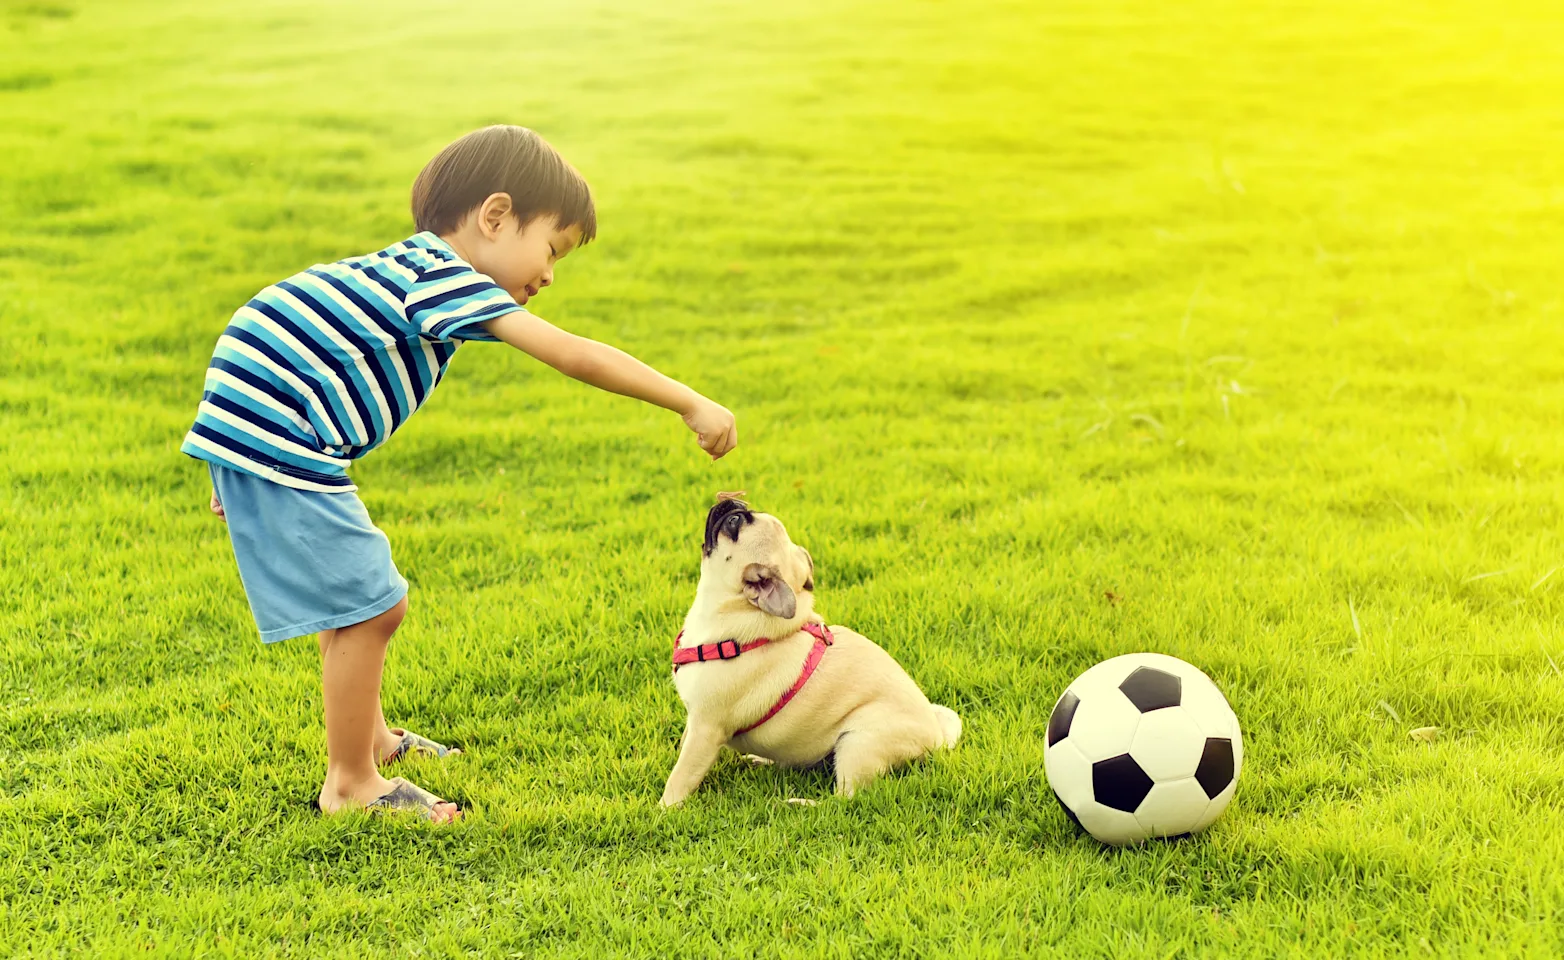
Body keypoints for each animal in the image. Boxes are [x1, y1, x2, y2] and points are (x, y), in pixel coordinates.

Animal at [656, 500, 957, 806]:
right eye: (740, 516)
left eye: (735, 523)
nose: (732, 504)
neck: (739, 610)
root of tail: (936, 739)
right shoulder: (694, 722)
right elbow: (682, 748)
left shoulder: (706, 729)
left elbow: (681, 776)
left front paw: (664, 810)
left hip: (858, 743)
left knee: (845, 798)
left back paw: (801, 804)